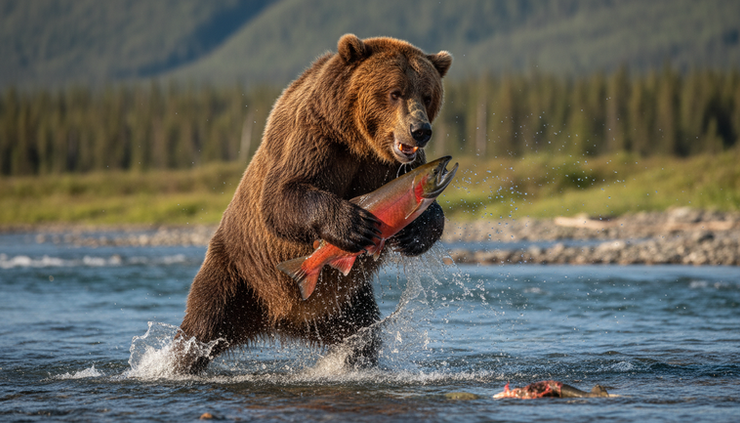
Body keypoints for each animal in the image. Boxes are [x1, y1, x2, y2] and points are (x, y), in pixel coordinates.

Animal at [176, 34, 452, 373]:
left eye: (427, 95)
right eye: (395, 92)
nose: (420, 130)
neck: (359, 141)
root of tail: (281, 319)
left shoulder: (389, 167)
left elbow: (431, 212)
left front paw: (413, 233)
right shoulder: (315, 139)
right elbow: (283, 195)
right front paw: (354, 224)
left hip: (344, 303)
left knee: (363, 337)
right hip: (239, 271)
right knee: (204, 322)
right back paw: (179, 361)